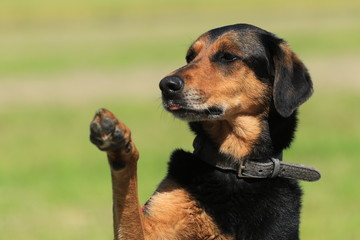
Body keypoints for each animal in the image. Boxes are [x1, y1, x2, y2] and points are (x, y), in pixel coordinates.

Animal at [90, 23, 320, 240]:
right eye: (190, 57)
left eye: (228, 56)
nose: (165, 85)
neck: (233, 166)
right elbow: (128, 200)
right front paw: (119, 144)